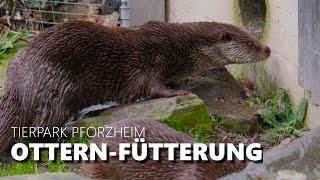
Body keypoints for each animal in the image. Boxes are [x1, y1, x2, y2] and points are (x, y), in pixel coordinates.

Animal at [0, 20, 270, 152]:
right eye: (250, 42)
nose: (268, 49)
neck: (180, 48)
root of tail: (16, 85)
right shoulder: (155, 60)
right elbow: (154, 88)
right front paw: (177, 92)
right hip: (61, 89)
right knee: (38, 129)